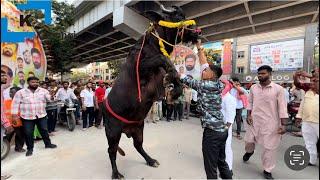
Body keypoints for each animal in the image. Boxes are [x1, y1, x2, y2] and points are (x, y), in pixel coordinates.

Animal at [104, 4, 200, 179]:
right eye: (177, 16)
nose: (197, 31)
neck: (154, 44)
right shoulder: (141, 67)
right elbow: (163, 59)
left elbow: (174, 73)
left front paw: (174, 90)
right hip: (113, 132)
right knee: (111, 151)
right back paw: (116, 173)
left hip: (139, 128)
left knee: (138, 145)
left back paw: (151, 160)